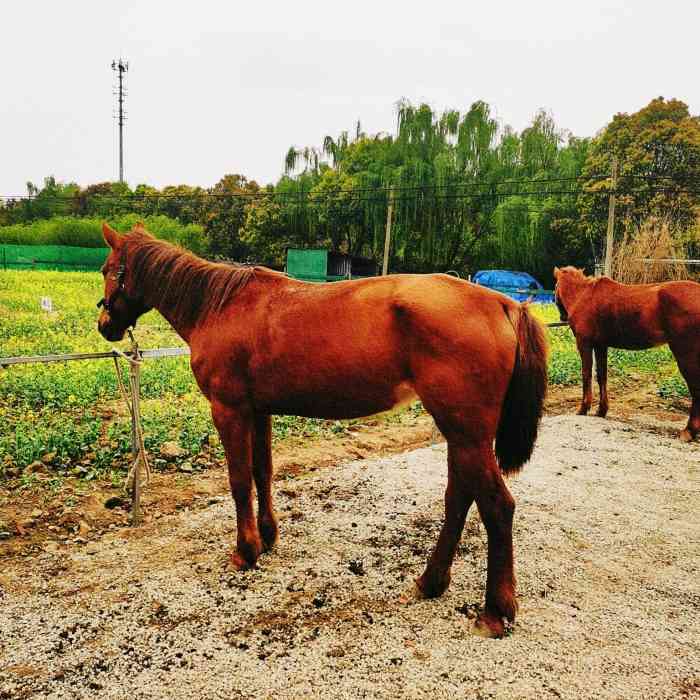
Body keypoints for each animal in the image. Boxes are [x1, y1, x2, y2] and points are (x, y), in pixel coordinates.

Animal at [556, 266, 696, 440]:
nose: (562, 316)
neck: (583, 294)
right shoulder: (601, 345)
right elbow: (601, 376)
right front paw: (601, 410)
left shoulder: (585, 343)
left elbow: (586, 375)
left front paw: (583, 409)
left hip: (685, 353)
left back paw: (689, 431)